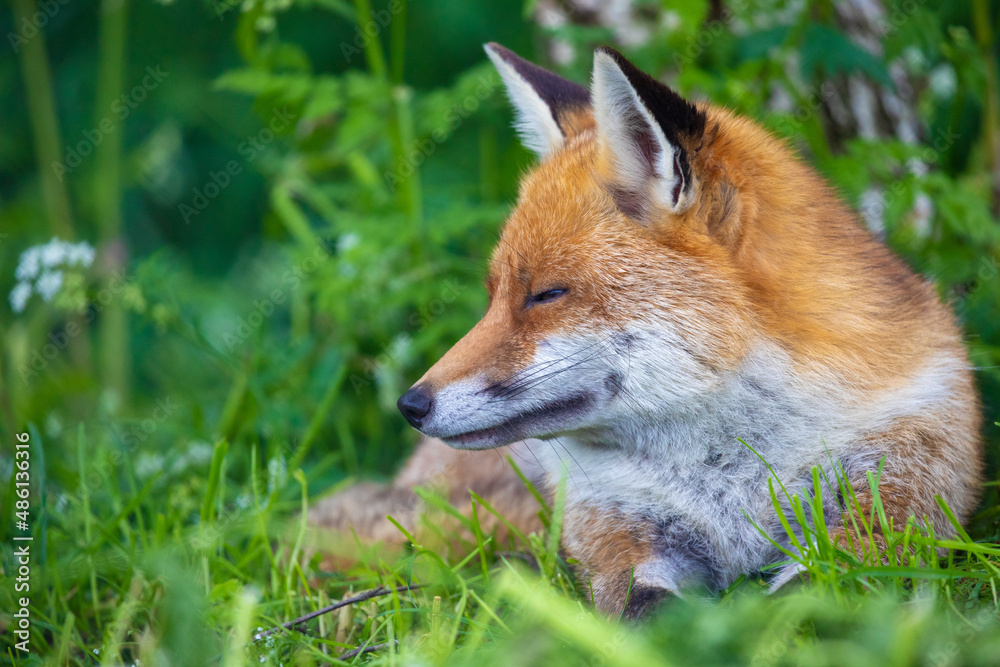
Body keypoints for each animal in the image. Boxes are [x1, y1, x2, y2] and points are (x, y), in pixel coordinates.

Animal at [308, 44, 983, 618]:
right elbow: (644, 614)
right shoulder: (613, 529)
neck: (727, 480)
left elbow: (810, 595)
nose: (411, 405)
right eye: (494, 294)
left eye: (546, 294)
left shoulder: (901, 501)